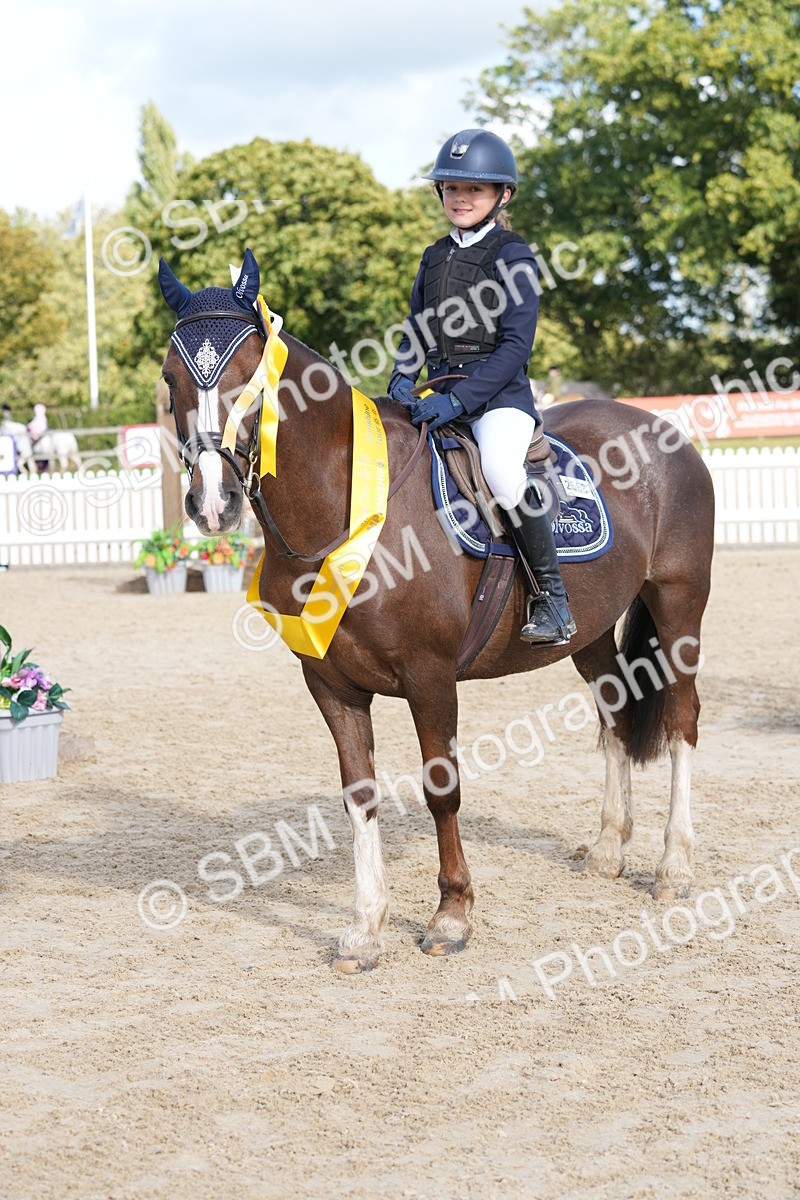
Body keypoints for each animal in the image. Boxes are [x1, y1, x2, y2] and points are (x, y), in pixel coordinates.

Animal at [158, 250, 715, 973]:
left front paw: (451, 916)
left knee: (680, 722)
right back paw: (607, 851)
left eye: (251, 372)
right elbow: (359, 792)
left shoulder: (430, 678)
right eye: (170, 378)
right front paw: (365, 929)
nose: (211, 501)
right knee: (616, 715)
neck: (344, 510)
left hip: (678, 611)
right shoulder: (330, 684)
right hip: (589, 634)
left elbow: (440, 789)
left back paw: (674, 866)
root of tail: (665, 430)